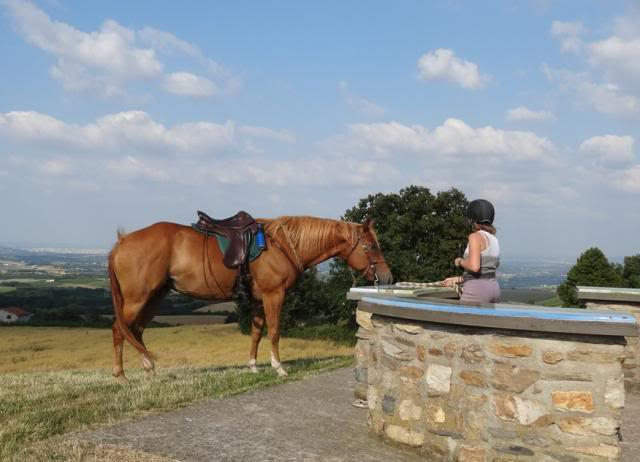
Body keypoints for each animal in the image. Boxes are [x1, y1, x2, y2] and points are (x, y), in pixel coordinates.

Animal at [109, 215, 390, 380]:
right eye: (371, 246)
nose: (387, 278)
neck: (283, 245)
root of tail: (121, 242)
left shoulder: (257, 300)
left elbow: (256, 332)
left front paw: (253, 365)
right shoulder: (273, 295)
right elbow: (274, 331)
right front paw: (278, 367)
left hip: (155, 296)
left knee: (137, 330)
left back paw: (149, 369)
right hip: (137, 298)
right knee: (119, 330)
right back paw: (121, 375)